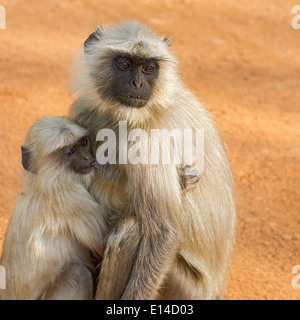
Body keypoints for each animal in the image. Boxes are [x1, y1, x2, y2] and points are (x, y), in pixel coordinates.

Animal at [69, 20, 236, 300]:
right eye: (124, 64)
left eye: (149, 68)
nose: (137, 83)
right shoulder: (82, 111)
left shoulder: (149, 141)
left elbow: (164, 235)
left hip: (181, 288)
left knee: (129, 232)